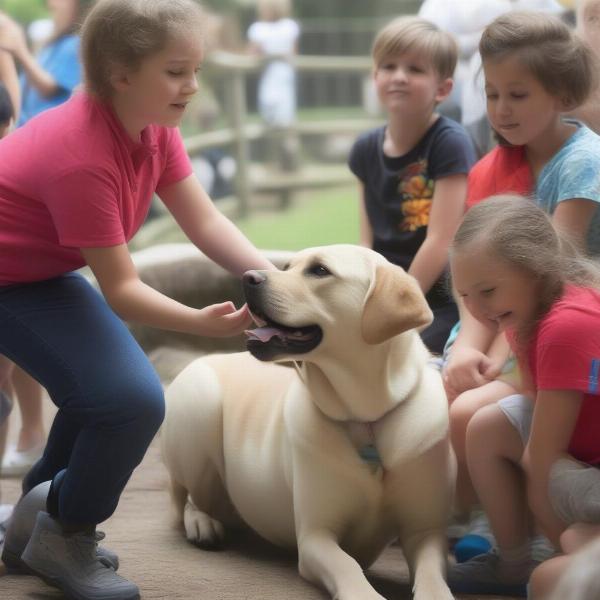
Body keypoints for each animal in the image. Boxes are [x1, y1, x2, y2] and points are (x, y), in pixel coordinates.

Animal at [159, 245, 454, 600]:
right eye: (287, 266)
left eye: (320, 271)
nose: (248, 277)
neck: (366, 418)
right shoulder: (316, 536)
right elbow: (348, 566)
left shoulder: (425, 531)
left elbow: (433, 576)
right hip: (200, 407)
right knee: (189, 498)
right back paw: (202, 523)